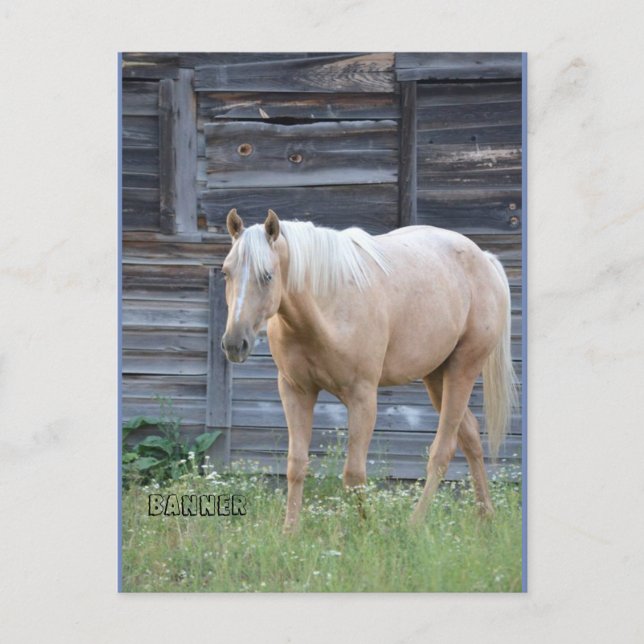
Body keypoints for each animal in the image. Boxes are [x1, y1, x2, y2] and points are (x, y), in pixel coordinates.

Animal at [220, 208, 518, 530]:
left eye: (267, 275)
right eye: (226, 272)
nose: (234, 343)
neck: (329, 305)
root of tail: (485, 259)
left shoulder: (362, 397)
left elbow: (354, 474)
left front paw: (364, 530)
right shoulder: (295, 391)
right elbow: (296, 465)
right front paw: (290, 532)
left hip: (462, 369)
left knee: (443, 450)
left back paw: (415, 523)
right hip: (437, 376)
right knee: (471, 436)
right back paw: (485, 514)